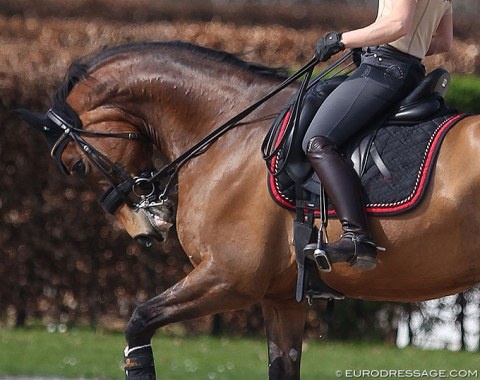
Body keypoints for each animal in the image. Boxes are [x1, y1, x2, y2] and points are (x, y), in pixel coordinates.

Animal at [19, 40, 480, 378]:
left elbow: (138, 321)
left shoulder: (229, 278)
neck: (231, 130)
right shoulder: (282, 301)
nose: (143, 228)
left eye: (76, 166)